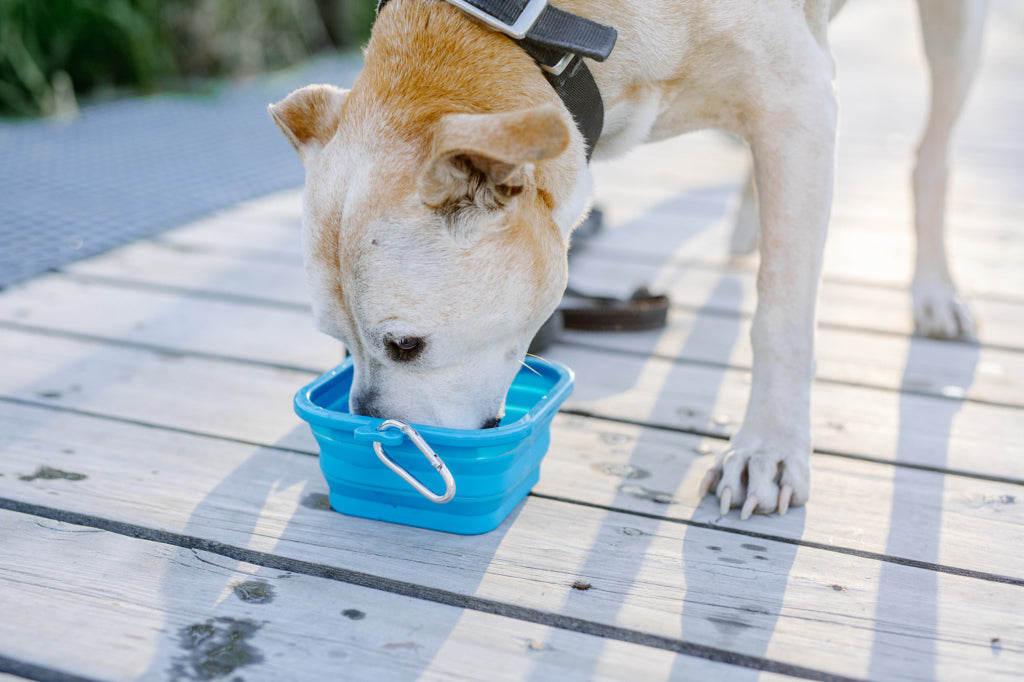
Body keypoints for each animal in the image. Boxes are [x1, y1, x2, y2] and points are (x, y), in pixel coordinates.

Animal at [270, 0, 983, 518]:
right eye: (337, 342)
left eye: (407, 346)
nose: (369, 433)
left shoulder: (799, 102)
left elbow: (782, 316)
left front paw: (769, 447)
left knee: (932, 156)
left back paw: (935, 292)